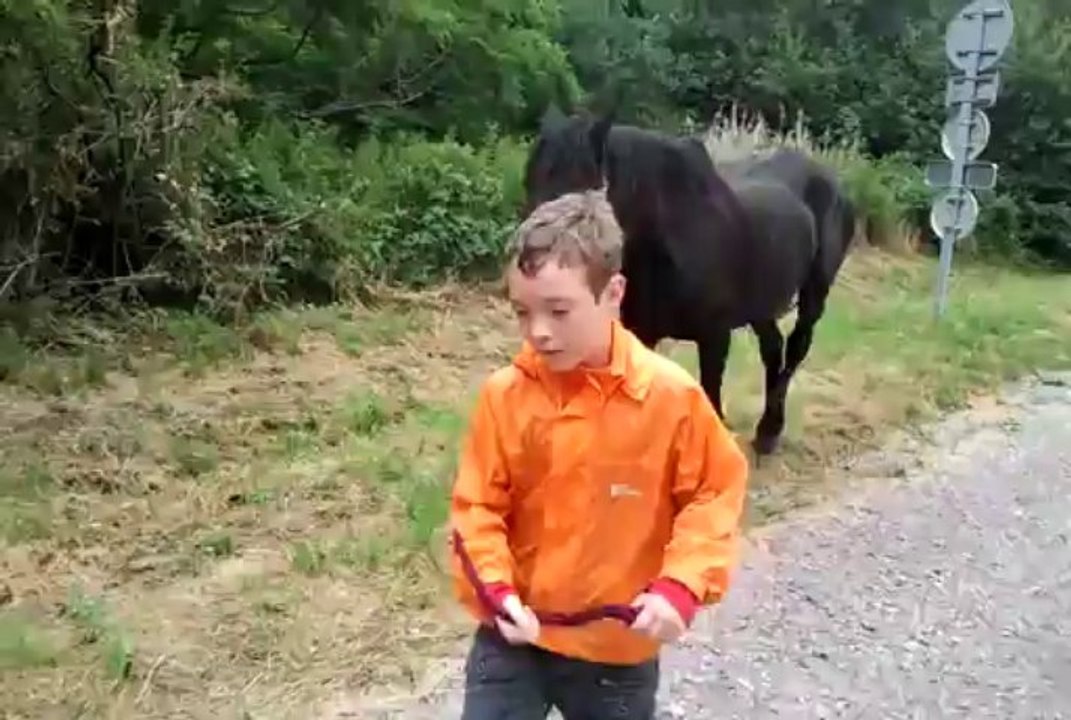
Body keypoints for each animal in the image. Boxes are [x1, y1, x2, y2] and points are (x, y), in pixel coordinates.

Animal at [522, 107, 857, 456]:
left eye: (576, 186)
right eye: (529, 180)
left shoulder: (715, 337)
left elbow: (710, 397)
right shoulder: (642, 332)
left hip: (814, 293)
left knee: (795, 348)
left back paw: (769, 431)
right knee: (773, 348)